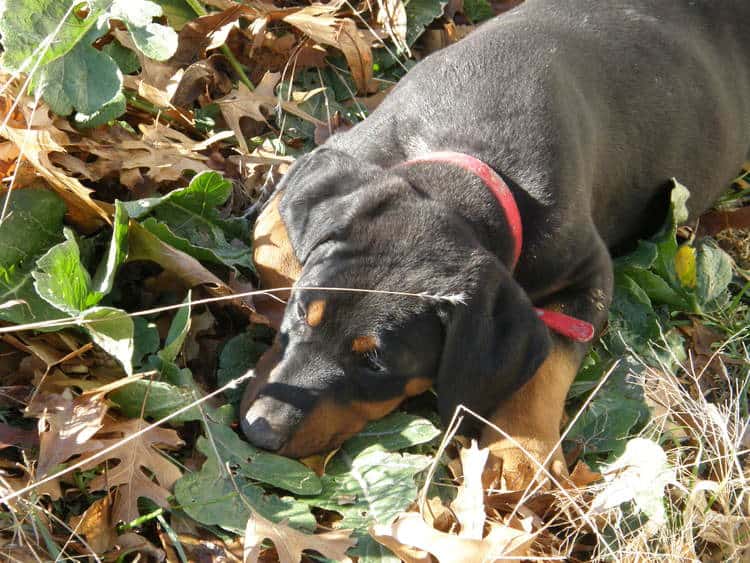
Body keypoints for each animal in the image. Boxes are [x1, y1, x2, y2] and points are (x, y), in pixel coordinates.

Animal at [241, 0, 750, 490]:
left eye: (377, 365)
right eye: (301, 312)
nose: (259, 430)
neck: (466, 162)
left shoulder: (587, 275)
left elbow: (546, 365)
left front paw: (520, 453)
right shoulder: (328, 165)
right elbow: (276, 248)